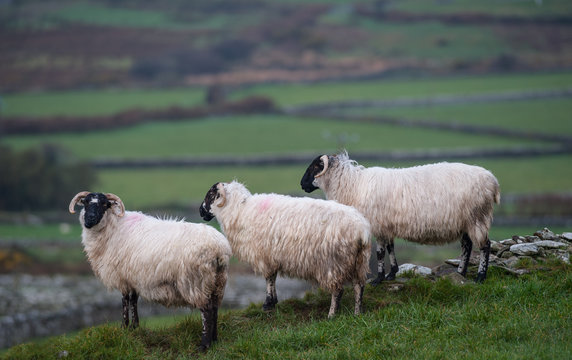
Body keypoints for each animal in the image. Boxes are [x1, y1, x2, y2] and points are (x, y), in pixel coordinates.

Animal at [69, 191, 232, 352]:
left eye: (104, 204)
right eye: (86, 202)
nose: (89, 219)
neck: (113, 227)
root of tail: (219, 249)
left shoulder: (122, 277)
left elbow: (125, 301)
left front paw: (124, 327)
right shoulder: (133, 276)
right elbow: (133, 300)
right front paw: (134, 327)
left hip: (196, 281)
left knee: (207, 311)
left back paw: (204, 345)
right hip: (217, 281)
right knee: (215, 308)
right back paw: (214, 339)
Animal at [200, 181, 370, 316]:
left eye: (210, 195)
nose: (201, 211)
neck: (239, 211)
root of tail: (361, 231)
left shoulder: (264, 255)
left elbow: (269, 278)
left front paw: (268, 304)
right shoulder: (272, 255)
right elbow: (273, 277)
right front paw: (273, 302)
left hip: (333, 263)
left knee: (338, 290)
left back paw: (332, 315)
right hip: (359, 261)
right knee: (359, 287)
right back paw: (357, 313)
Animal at [300, 150, 500, 282]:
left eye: (315, 166)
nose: (302, 184)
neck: (353, 185)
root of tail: (492, 180)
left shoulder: (378, 224)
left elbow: (380, 252)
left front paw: (379, 278)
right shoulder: (387, 225)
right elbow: (390, 248)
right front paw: (391, 273)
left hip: (478, 216)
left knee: (485, 245)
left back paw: (480, 276)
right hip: (467, 220)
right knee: (467, 245)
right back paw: (460, 273)